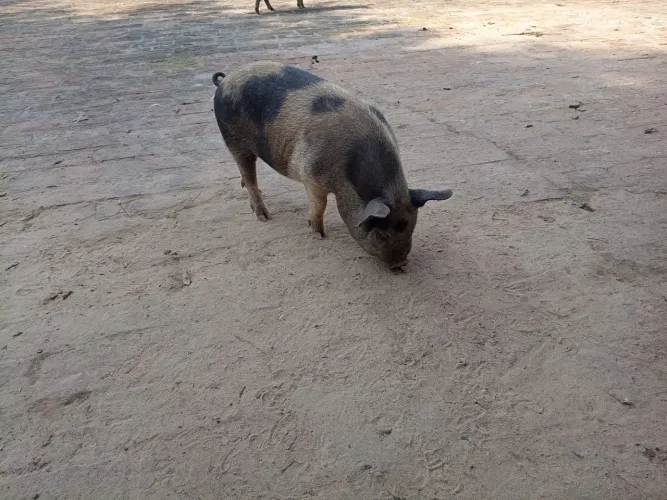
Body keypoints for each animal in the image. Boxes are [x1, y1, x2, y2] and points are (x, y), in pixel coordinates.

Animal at [212, 61, 452, 269]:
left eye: (411, 228)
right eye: (381, 234)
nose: (400, 264)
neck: (346, 176)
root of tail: (225, 80)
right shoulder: (311, 177)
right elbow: (320, 206)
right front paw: (319, 235)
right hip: (233, 139)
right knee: (249, 174)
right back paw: (264, 217)